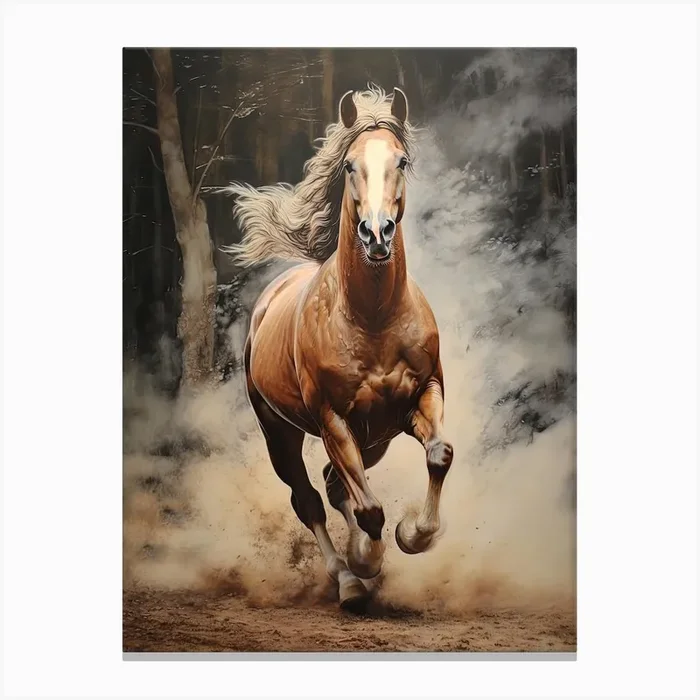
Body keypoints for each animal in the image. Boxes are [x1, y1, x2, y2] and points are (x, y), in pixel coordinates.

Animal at [226, 87, 453, 610]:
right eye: (350, 165)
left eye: (402, 160)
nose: (377, 234)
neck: (373, 318)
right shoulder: (331, 418)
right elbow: (368, 509)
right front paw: (366, 561)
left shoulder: (422, 395)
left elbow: (439, 455)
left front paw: (413, 535)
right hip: (280, 432)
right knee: (309, 497)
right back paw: (347, 578)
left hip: (376, 439)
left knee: (333, 484)